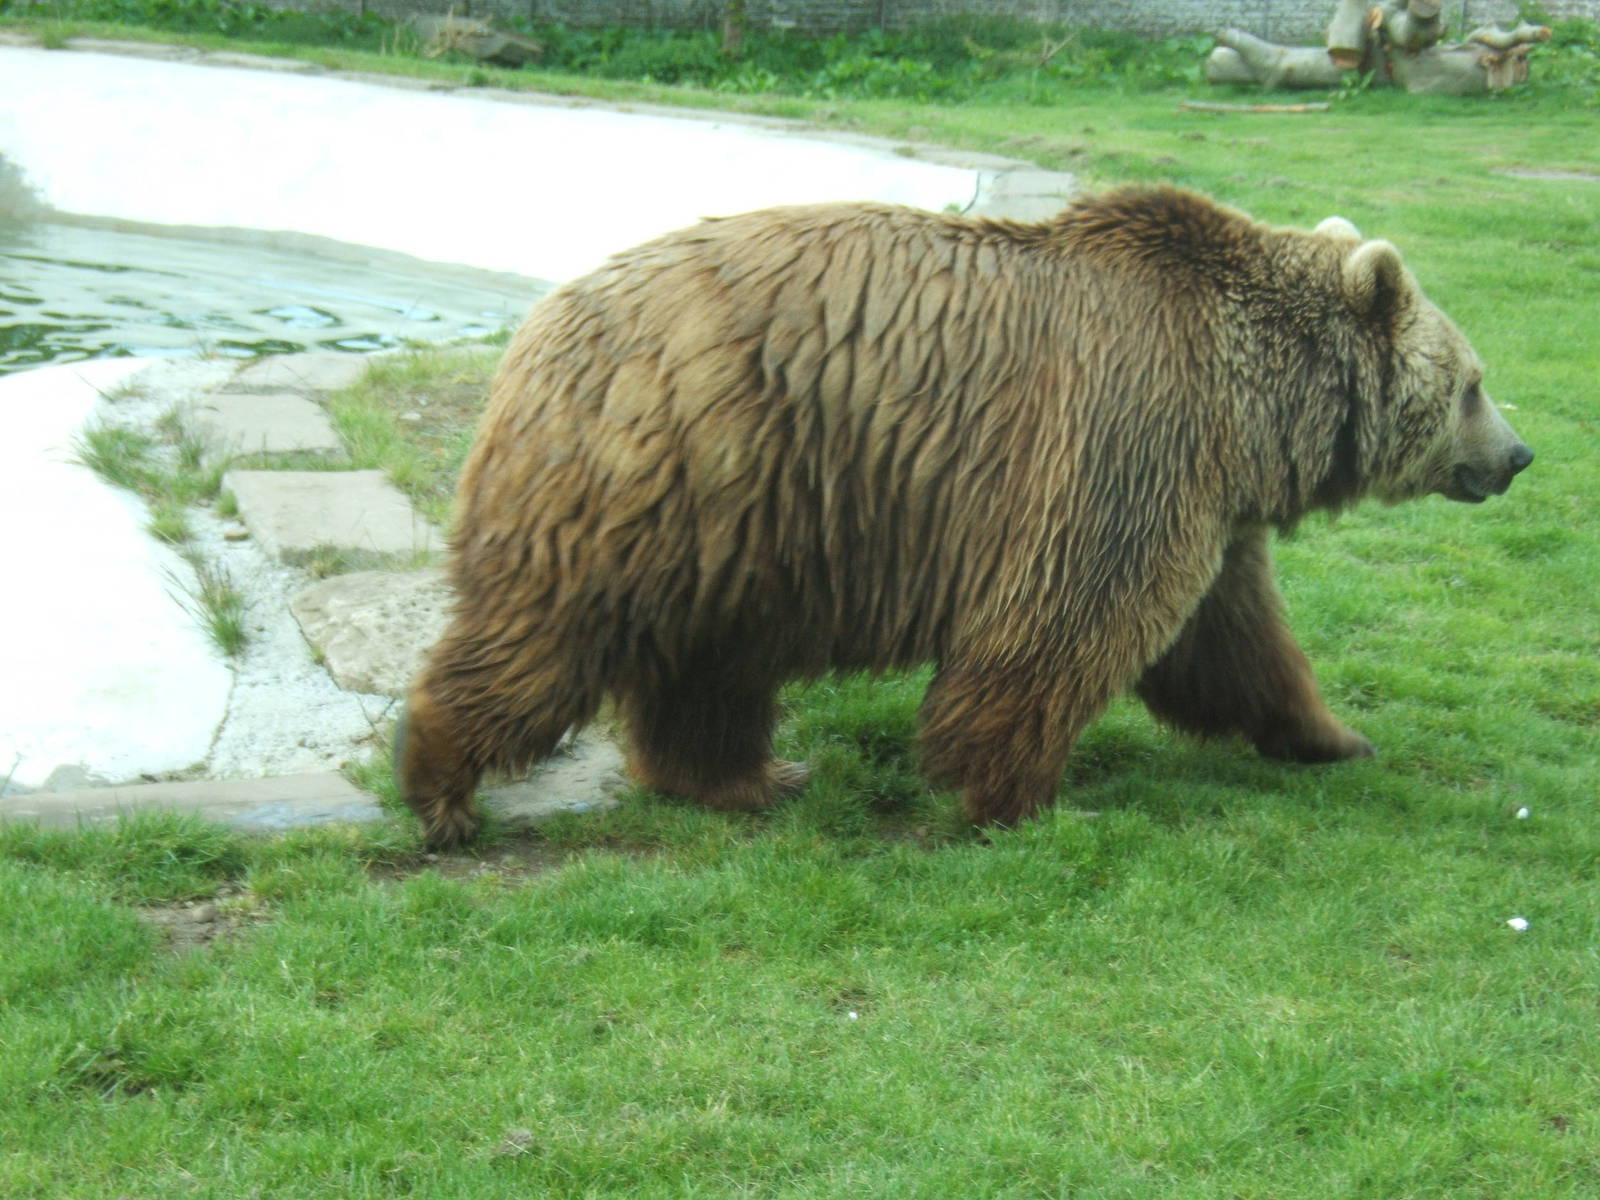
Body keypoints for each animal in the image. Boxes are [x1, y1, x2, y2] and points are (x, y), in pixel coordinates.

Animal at [395, 186, 1532, 850]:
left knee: (710, 662)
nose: (1518, 456)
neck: (1252, 412)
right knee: (550, 631)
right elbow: (1064, 625)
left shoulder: (1207, 500)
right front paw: (1026, 798)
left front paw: (1332, 735)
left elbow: (1235, 643)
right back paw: (442, 788)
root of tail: (539, 322)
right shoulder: (1124, 436)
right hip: (663, 470)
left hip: (741, 524)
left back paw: (750, 777)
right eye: (1473, 383)